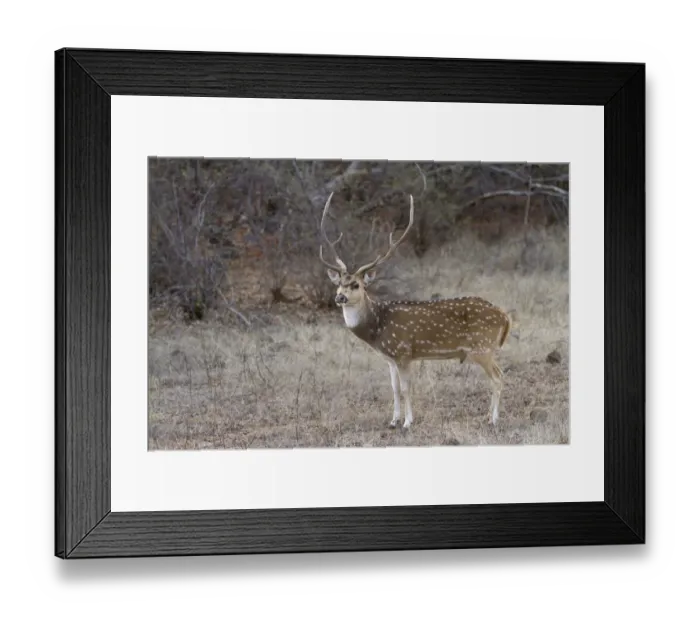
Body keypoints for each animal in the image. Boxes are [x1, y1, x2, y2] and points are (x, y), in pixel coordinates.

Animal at [319, 192, 512, 430]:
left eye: (356, 285)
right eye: (339, 284)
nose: (340, 297)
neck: (378, 327)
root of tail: (505, 316)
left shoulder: (403, 352)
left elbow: (406, 388)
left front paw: (407, 422)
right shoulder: (390, 358)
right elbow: (393, 388)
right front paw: (393, 420)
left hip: (482, 347)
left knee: (499, 377)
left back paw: (493, 419)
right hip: (485, 349)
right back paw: (488, 416)